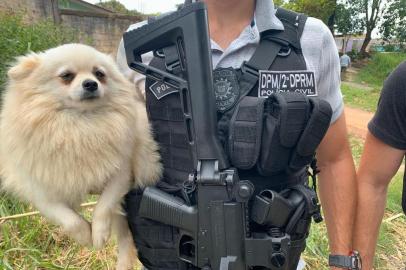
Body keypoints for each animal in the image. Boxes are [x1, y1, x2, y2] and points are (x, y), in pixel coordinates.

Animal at [0, 43, 162, 268]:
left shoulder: (121, 173)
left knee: (125, 238)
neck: (81, 124)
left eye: (99, 74)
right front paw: (85, 235)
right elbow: (68, 218)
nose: (91, 83)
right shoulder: (41, 190)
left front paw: (98, 233)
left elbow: (103, 205)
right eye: (66, 76)